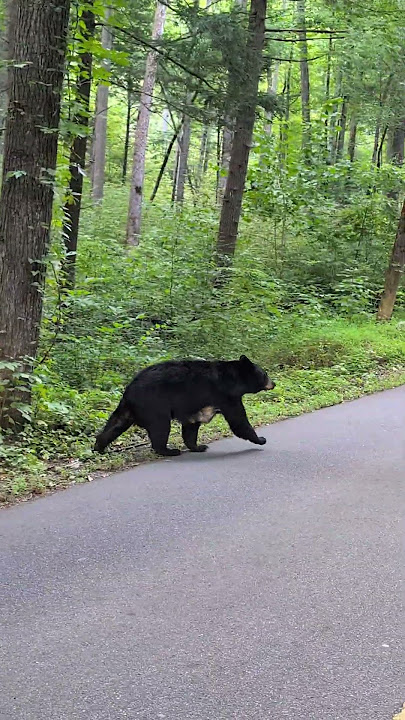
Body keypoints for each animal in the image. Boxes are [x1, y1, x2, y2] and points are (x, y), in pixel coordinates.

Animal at [94, 355, 275, 457]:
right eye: (265, 373)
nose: (273, 383)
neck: (234, 380)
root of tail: (129, 389)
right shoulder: (226, 396)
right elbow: (239, 421)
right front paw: (261, 439)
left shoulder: (197, 407)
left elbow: (191, 427)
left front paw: (198, 446)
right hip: (154, 405)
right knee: (161, 427)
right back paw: (169, 451)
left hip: (128, 409)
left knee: (115, 424)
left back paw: (98, 448)